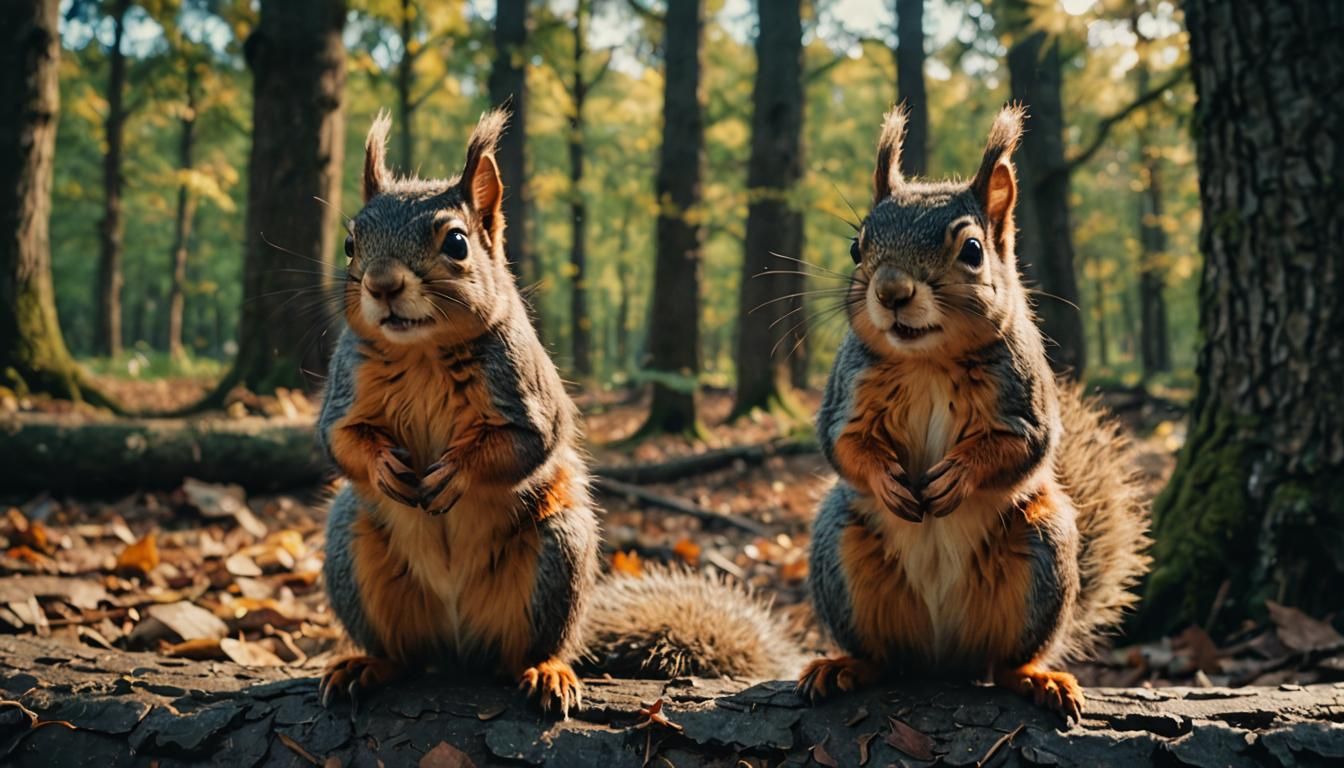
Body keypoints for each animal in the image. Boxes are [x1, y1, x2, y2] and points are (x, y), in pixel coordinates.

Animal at [318, 109, 797, 718]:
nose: (381, 285)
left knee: (525, 651)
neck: (421, 351)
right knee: (404, 653)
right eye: (350, 242)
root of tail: (457, 645)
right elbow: (340, 439)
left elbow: (527, 443)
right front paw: (383, 466)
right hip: (351, 547)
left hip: (557, 553)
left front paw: (456, 473)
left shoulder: (527, 392)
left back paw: (546, 671)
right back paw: (368, 664)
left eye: (457, 243)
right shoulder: (346, 385)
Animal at [798, 105, 1150, 722]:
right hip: (840, 550)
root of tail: (943, 658)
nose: (891, 291)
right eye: (856, 248)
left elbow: (1020, 447)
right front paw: (887, 480)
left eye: (972, 250)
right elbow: (842, 443)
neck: (928, 362)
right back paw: (845, 666)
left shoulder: (1025, 400)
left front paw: (958, 475)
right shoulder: (848, 390)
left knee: (1005, 663)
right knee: (882, 656)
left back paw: (1037, 678)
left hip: (1041, 553)